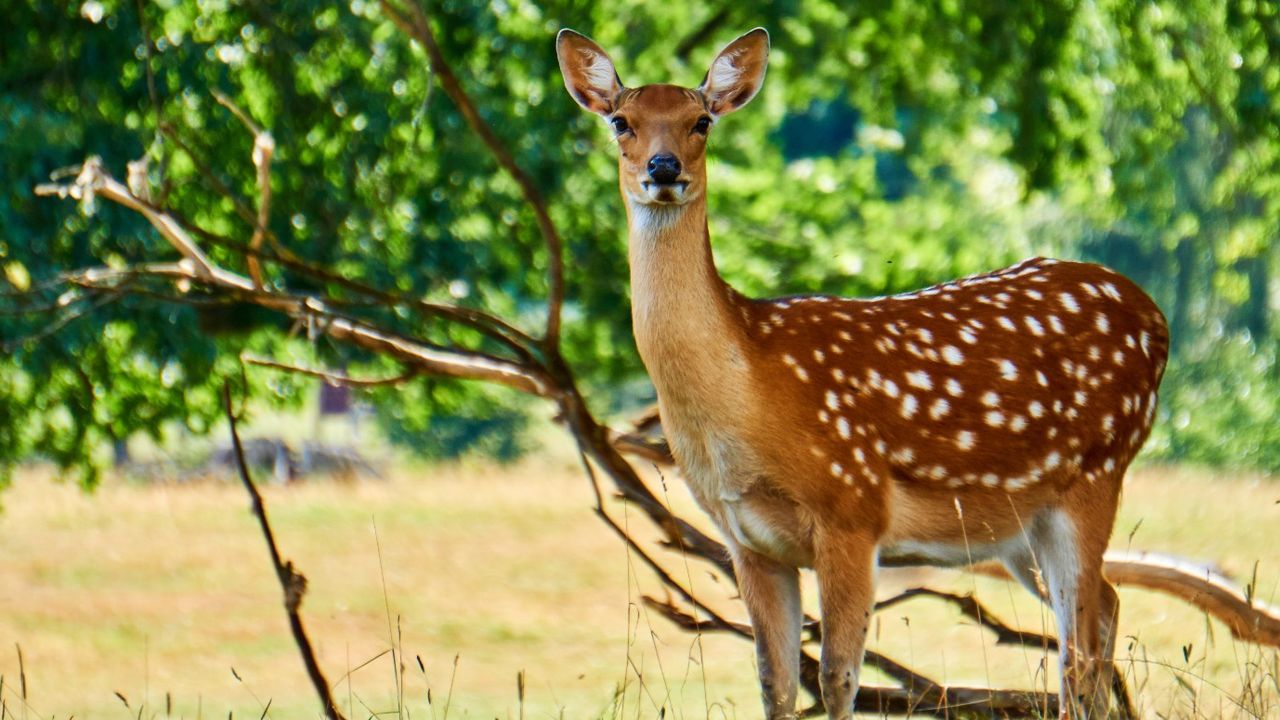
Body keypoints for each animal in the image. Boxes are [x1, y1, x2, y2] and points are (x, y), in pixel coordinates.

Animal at [558, 26, 1172, 717]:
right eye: (621, 122)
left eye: (702, 122)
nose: (664, 169)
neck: (747, 394)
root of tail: (1155, 315)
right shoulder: (745, 540)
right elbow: (775, 681)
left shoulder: (852, 508)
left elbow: (836, 676)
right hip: (1021, 524)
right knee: (1104, 612)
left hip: (1097, 473)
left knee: (1080, 650)